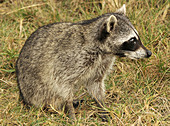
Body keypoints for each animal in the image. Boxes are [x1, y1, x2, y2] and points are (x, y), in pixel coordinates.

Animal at [15, 4, 151, 120]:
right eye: (132, 40)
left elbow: (95, 84)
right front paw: (70, 110)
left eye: (137, 37)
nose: (149, 53)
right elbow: (63, 85)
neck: (103, 51)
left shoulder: (102, 64)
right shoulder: (69, 61)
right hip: (35, 90)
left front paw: (101, 106)